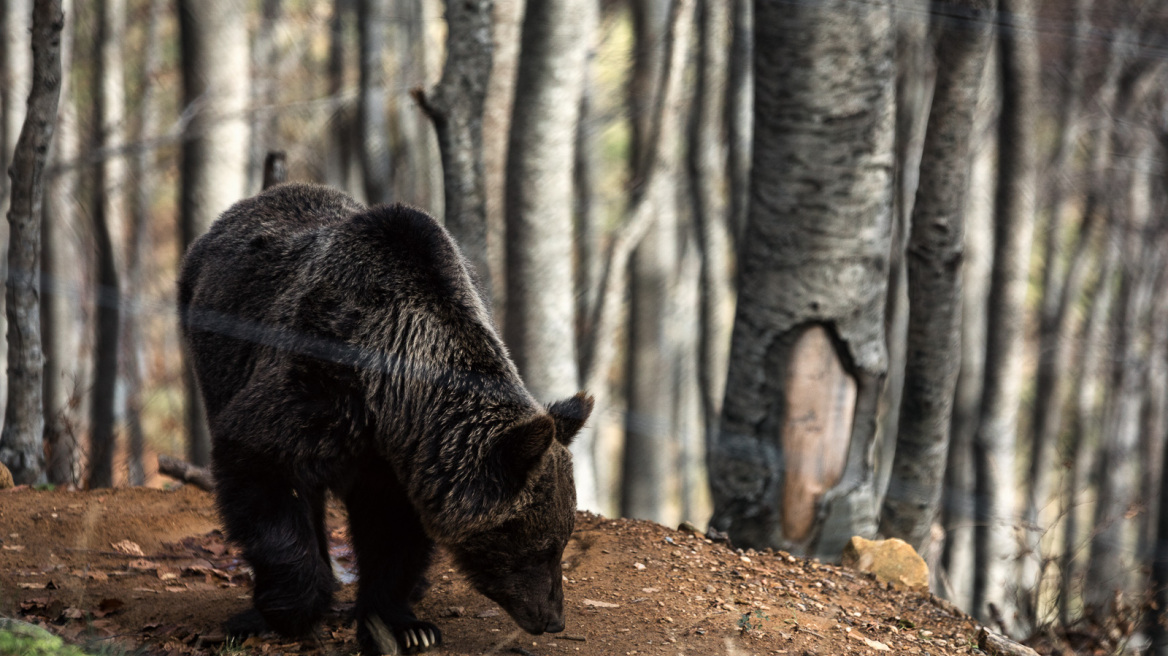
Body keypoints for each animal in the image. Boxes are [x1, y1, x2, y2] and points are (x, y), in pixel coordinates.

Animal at [178, 180, 593, 648]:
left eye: (561, 541)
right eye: (541, 546)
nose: (553, 617)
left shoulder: (406, 462)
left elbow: (391, 533)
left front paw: (406, 627)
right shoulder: (312, 392)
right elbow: (262, 471)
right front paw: (290, 610)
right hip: (214, 353)